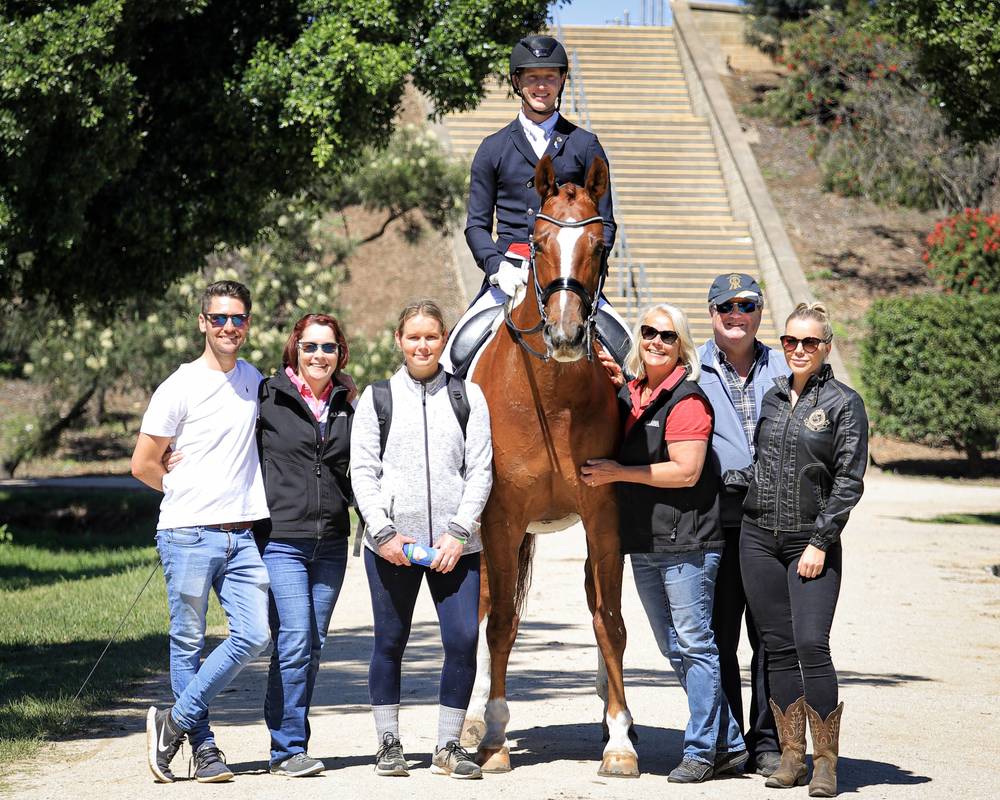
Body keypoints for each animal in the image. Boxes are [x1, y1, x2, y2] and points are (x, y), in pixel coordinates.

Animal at [463, 154, 639, 778]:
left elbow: (609, 621)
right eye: (537, 245)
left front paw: (620, 740)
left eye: (599, 245)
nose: (565, 335)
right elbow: (499, 624)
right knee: (485, 609)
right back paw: (471, 720)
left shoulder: (605, 516)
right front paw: (493, 739)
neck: (552, 392)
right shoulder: (501, 521)